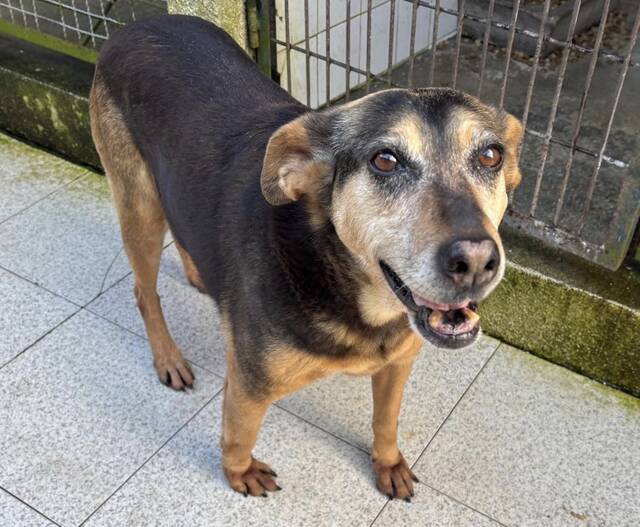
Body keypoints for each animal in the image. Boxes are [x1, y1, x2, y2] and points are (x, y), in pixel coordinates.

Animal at [89, 14, 523, 501]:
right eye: (385, 160)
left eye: (491, 155)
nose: (476, 261)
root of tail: (135, 25)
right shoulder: (249, 383)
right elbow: (238, 434)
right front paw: (239, 473)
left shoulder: (397, 363)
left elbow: (386, 421)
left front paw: (388, 462)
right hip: (140, 208)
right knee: (144, 292)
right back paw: (168, 359)